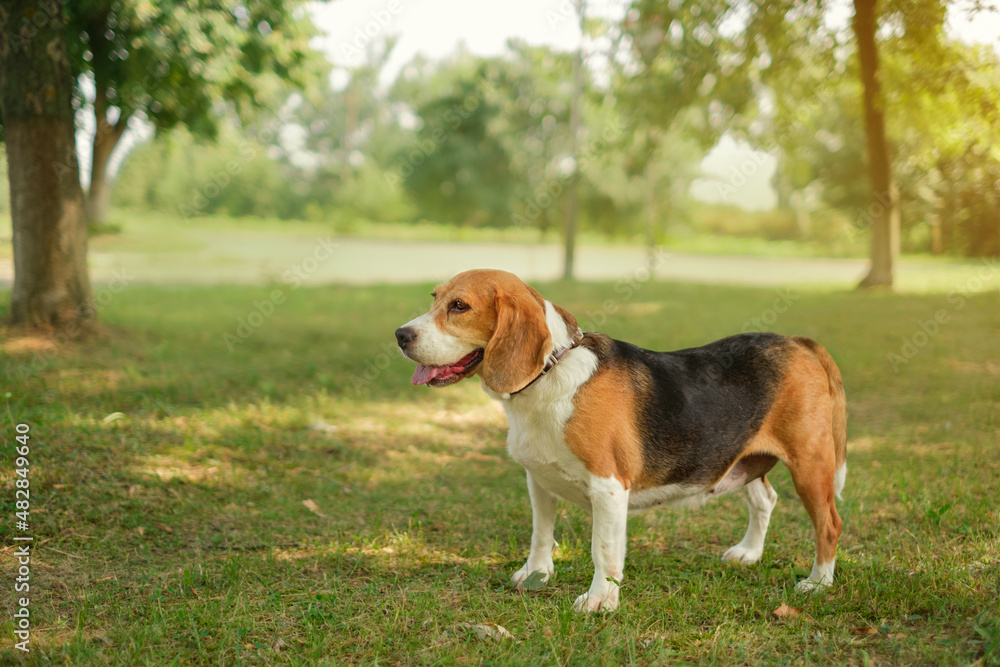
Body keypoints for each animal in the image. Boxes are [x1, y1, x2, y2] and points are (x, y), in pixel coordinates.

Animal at [394, 270, 848, 612]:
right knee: (764, 500)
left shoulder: (608, 488)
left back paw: (818, 583)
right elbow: (541, 534)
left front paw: (600, 601)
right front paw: (537, 575)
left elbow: (604, 549)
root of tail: (798, 342)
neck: (551, 373)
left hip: (810, 465)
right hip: (742, 457)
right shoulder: (537, 480)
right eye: (434, 298)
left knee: (829, 524)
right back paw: (749, 553)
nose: (400, 335)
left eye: (459, 306)